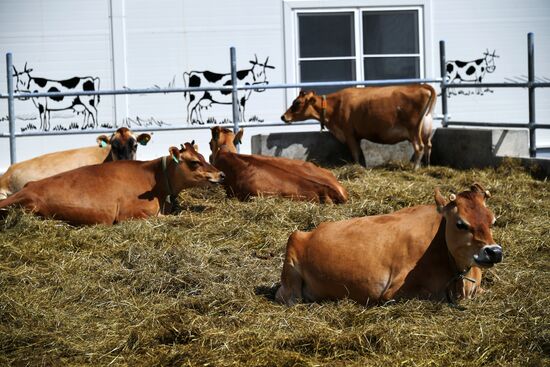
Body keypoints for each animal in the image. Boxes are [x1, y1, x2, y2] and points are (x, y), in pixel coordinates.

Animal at [276, 184, 504, 308]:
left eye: (492, 221)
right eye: (461, 224)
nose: (494, 252)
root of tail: (308, 232)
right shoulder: (392, 292)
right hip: (291, 266)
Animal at [282, 84, 438, 169]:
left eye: (297, 103)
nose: (283, 117)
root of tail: (421, 86)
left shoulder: (349, 133)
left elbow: (355, 153)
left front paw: (357, 167)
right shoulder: (356, 135)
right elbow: (360, 153)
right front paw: (363, 167)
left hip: (414, 130)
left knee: (419, 147)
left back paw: (415, 168)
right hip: (426, 127)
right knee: (429, 145)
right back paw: (428, 166)